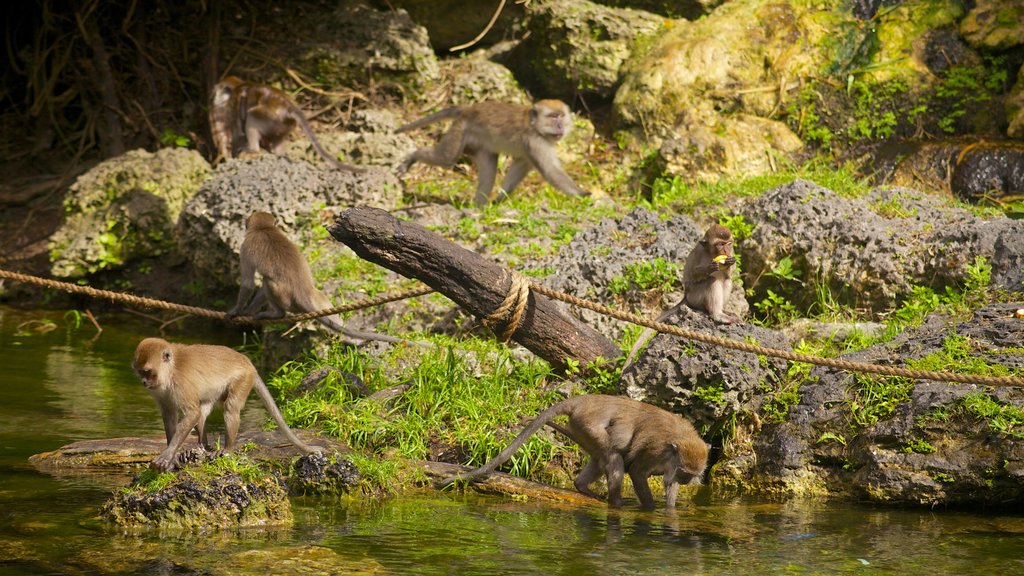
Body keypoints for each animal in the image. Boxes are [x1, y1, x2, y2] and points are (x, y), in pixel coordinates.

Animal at [132, 334, 321, 469]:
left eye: (147, 372)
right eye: (140, 372)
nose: (143, 382)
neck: (170, 371)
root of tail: (248, 362)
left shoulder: (181, 383)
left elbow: (192, 413)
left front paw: (168, 455)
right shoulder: (160, 391)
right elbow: (170, 413)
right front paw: (173, 456)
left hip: (243, 379)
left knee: (229, 408)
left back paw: (227, 449)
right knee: (203, 412)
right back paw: (202, 446)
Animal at [205, 75, 362, 171]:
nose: (213, 96)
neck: (239, 85)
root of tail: (288, 107)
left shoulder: (232, 105)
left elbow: (237, 132)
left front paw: (232, 157)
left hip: (268, 117)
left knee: (251, 117)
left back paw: (253, 149)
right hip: (284, 125)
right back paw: (279, 154)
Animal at [226, 211, 413, 344]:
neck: (264, 229)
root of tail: (302, 294)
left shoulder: (245, 247)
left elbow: (248, 283)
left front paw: (238, 311)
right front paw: (248, 311)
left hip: (286, 298)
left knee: (268, 282)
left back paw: (277, 314)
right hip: (315, 297)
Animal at [436, 391, 708, 508]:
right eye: (685, 473)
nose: (686, 481)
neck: (677, 442)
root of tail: (583, 401)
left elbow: (669, 487)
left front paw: (670, 511)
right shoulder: (654, 451)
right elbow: (637, 473)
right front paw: (650, 510)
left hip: (581, 430)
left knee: (600, 460)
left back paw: (581, 487)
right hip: (587, 425)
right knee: (614, 459)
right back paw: (617, 503)